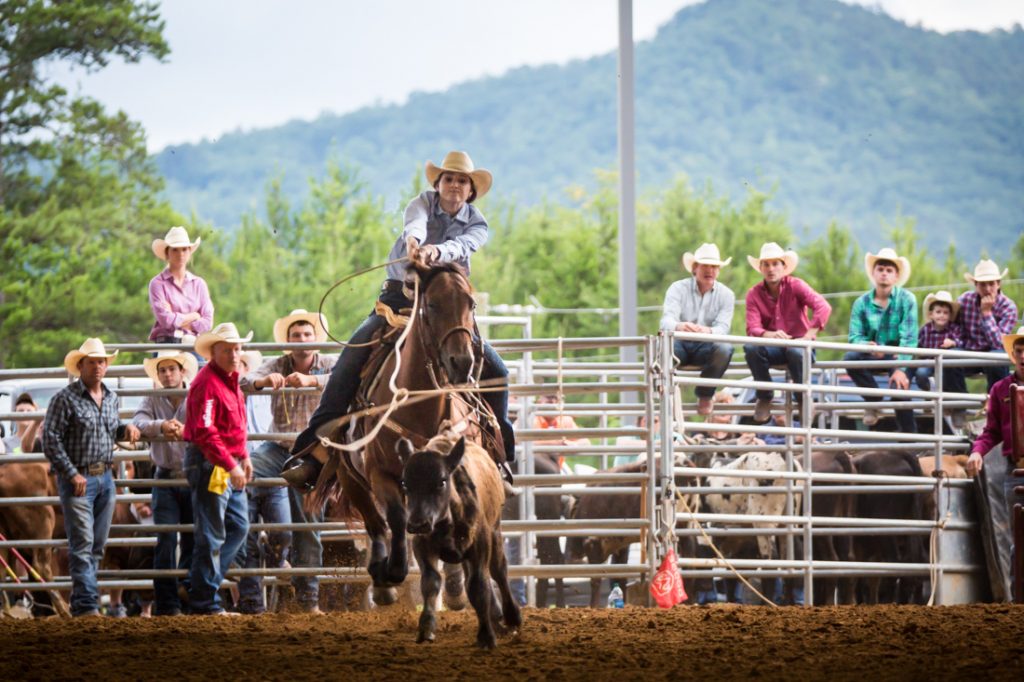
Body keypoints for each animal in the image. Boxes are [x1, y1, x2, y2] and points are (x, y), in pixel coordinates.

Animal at [313, 259, 501, 602]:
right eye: (433, 304)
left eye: (471, 304)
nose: (461, 362)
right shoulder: (381, 475)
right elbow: (396, 520)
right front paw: (394, 571)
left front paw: (455, 586)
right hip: (350, 478)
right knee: (376, 524)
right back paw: (382, 583)